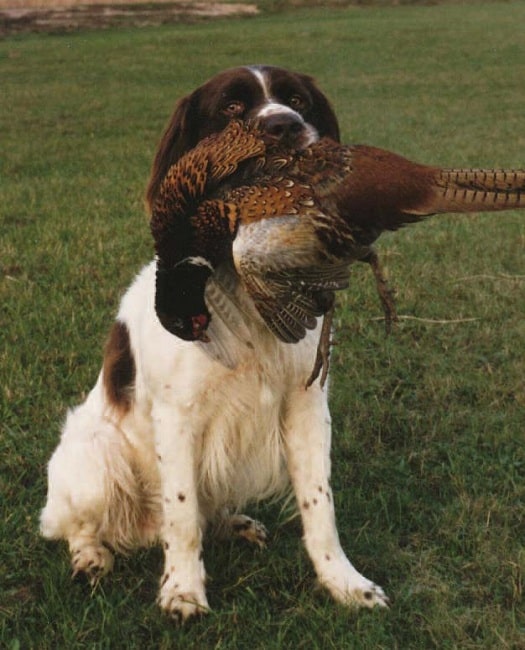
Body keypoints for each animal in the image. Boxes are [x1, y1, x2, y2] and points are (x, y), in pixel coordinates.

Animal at [41, 66, 386, 616]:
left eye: (297, 101)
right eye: (230, 108)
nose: (285, 127)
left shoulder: (307, 402)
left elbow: (319, 503)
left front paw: (344, 582)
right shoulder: (177, 415)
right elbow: (182, 515)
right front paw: (182, 590)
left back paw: (235, 524)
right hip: (93, 455)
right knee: (77, 525)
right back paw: (91, 557)